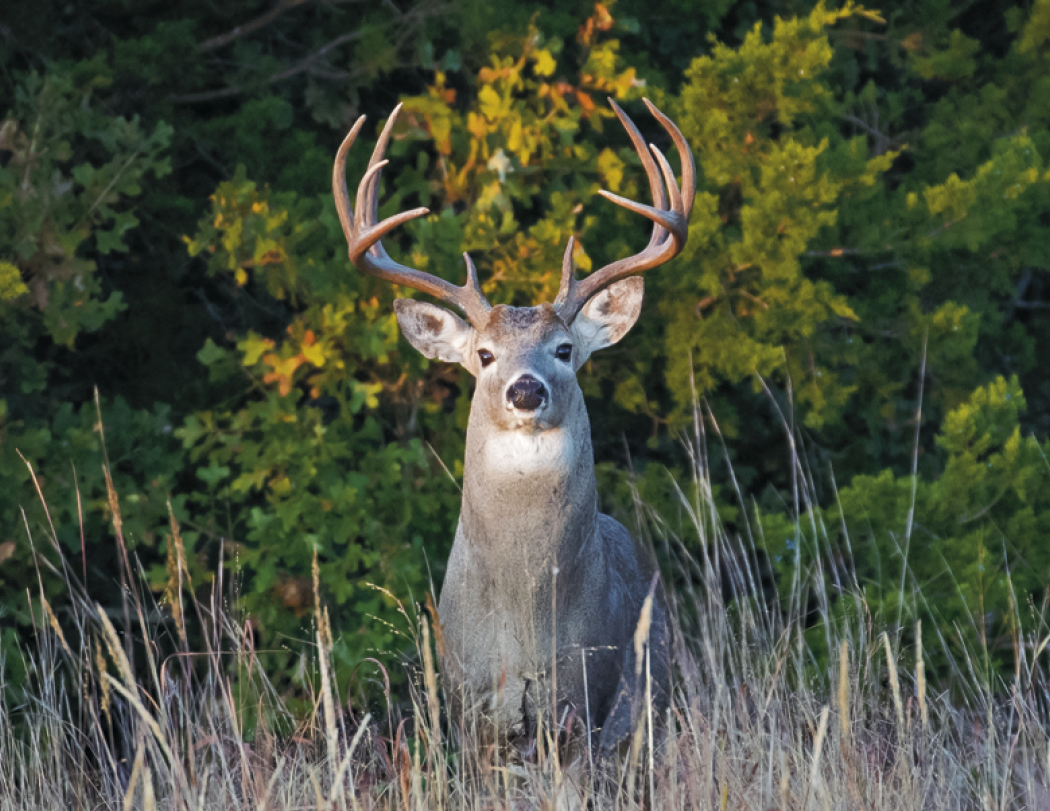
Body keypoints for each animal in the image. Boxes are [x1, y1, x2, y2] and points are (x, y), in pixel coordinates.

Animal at [332, 98, 694, 753]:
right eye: (483, 354)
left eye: (564, 349)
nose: (526, 390)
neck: (526, 627)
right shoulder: (468, 698)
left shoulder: (582, 696)